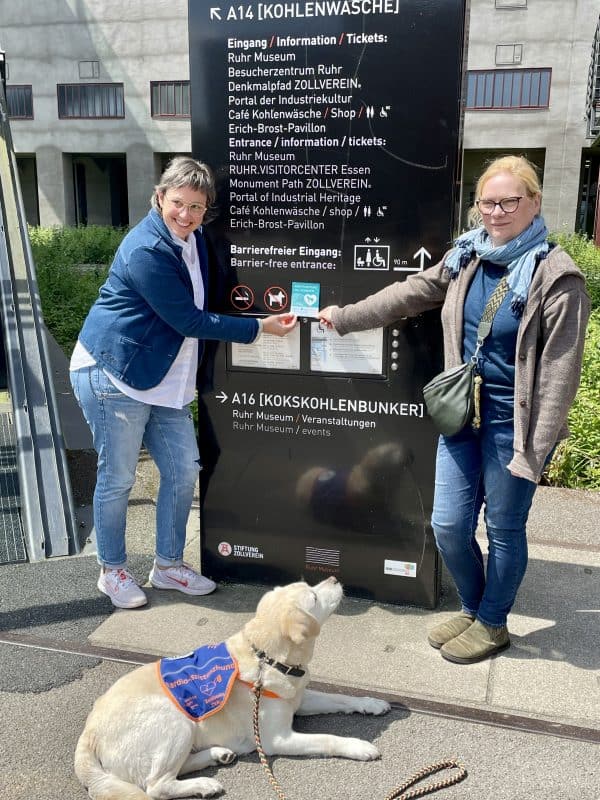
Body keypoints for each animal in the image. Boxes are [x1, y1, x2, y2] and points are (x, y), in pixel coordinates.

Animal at [75, 580, 392, 796]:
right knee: (156, 786)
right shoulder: (277, 739)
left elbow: (340, 697)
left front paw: (371, 703)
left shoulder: (298, 699)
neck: (268, 658)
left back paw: (218, 755)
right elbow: (327, 739)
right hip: (175, 718)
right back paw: (204, 784)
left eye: (310, 587)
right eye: (313, 596)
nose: (335, 579)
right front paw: (359, 746)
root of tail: (88, 734)